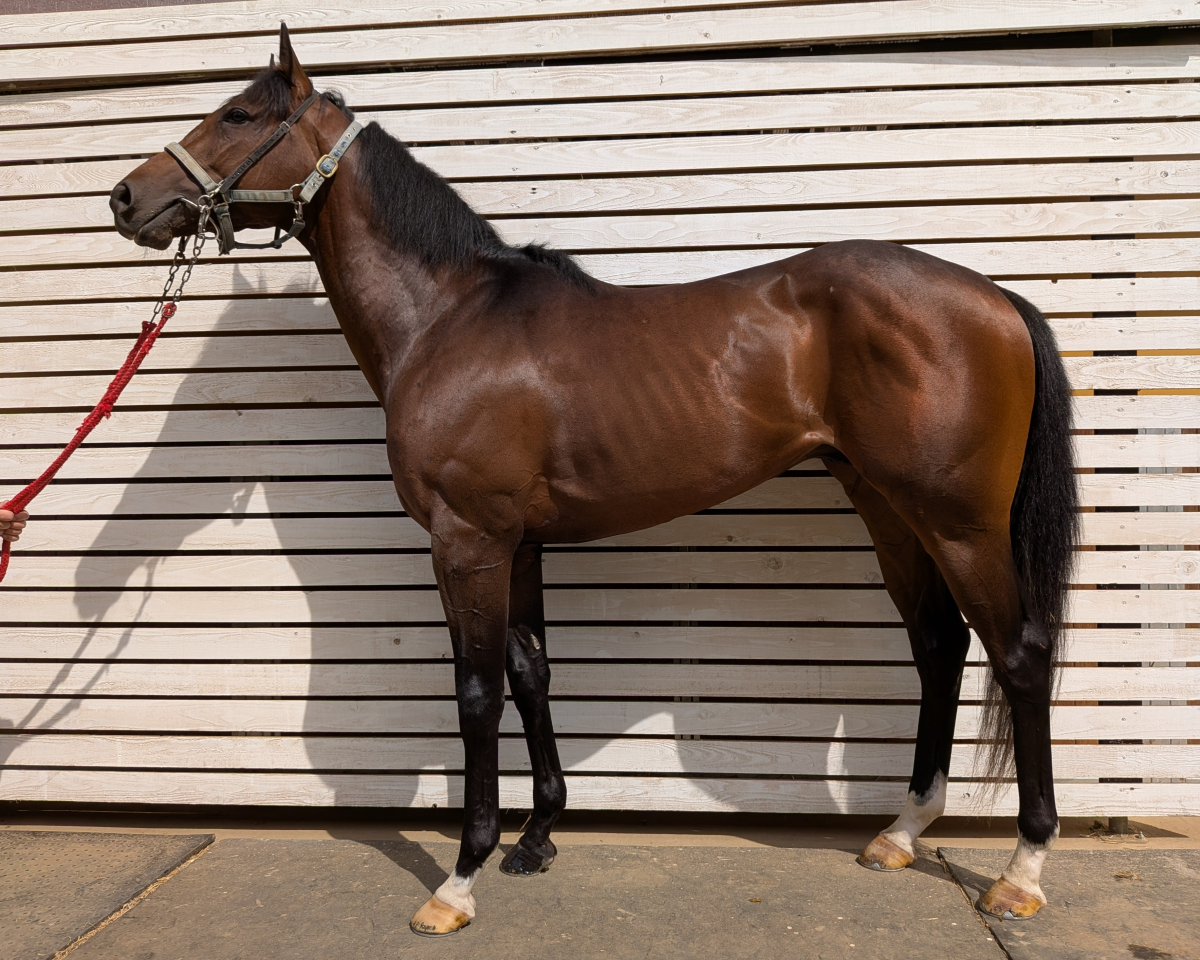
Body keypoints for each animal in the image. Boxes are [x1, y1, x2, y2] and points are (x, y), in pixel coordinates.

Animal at [109, 25, 1077, 937]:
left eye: (238, 114)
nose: (126, 198)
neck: (450, 320)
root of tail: (995, 298)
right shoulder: (519, 543)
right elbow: (532, 672)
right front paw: (538, 837)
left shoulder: (466, 542)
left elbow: (476, 693)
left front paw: (460, 878)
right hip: (888, 510)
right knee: (939, 647)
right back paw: (902, 832)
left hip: (959, 523)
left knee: (1020, 655)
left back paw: (1023, 871)